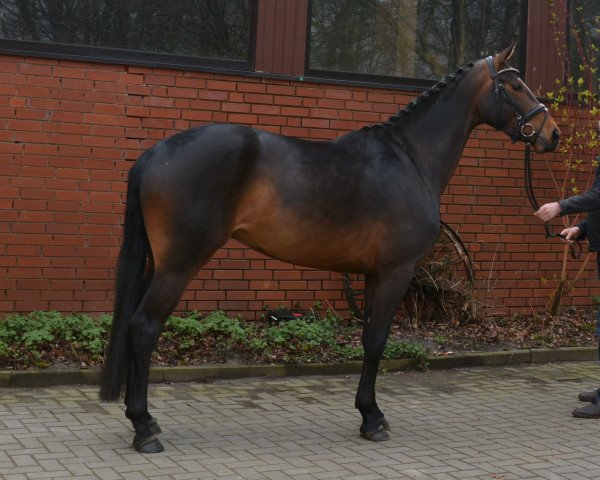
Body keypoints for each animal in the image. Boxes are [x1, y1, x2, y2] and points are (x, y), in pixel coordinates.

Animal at [99, 44, 564, 450]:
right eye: (516, 85)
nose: (553, 134)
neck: (410, 159)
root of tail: (156, 153)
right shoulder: (396, 271)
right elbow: (377, 340)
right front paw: (373, 420)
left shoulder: (373, 274)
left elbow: (368, 338)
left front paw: (367, 414)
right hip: (179, 265)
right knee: (143, 328)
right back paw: (144, 429)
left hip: (157, 263)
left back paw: (144, 422)